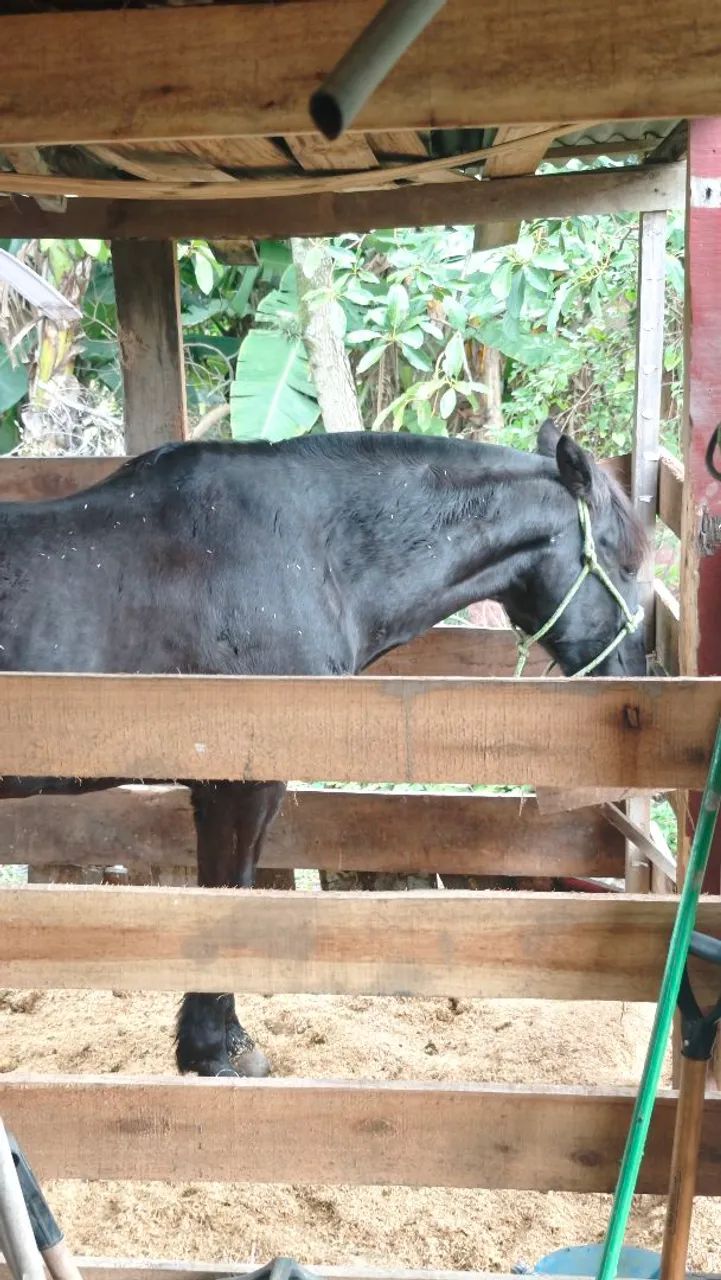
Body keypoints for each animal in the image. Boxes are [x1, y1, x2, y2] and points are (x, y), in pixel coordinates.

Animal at [0, 417, 647, 1078]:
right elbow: (228, 895)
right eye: (623, 562)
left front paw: (222, 1041)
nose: (635, 673)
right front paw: (213, 1053)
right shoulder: (240, 785)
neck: (309, 552)